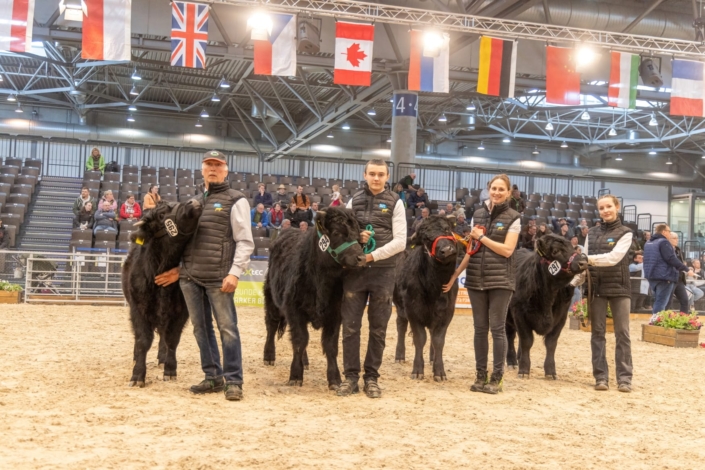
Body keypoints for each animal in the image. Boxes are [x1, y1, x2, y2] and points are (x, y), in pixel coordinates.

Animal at [122, 199, 203, 387]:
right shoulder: (138, 309)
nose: (193, 201)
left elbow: (171, 339)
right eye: (161, 214)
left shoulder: (181, 311)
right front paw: (137, 374)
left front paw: (170, 370)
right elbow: (143, 340)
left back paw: (162, 357)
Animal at [263, 207, 366, 389]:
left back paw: (305, 361)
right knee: (271, 325)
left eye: (357, 234)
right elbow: (300, 340)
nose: (361, 258)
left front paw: (334, 378)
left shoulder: (335, 314)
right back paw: (269, 356)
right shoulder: (294, 310)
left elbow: (330, 345)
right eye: (337, 232)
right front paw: (295, 375)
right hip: (272, 299)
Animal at [394, 216, 459, 381]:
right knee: (401, 326)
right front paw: (417, 370)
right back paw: (399, 355)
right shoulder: (413, 311)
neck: (435, 288)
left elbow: (438, 340)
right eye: (426, 239)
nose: (447, 250)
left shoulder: (447, 314)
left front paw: (439, 370)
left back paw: (431, 358)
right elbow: (420, 338)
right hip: (400, 306)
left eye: (447, 229)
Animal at [505, 234, 589, 379]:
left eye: (572, 247)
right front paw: (524, 370)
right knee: (510, 336)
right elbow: (527, 341)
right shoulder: (519, 314)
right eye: (555, 251)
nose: (583, 262)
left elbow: (551, 344)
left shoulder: (561, 318)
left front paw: (550, 371)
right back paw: (512, 361)